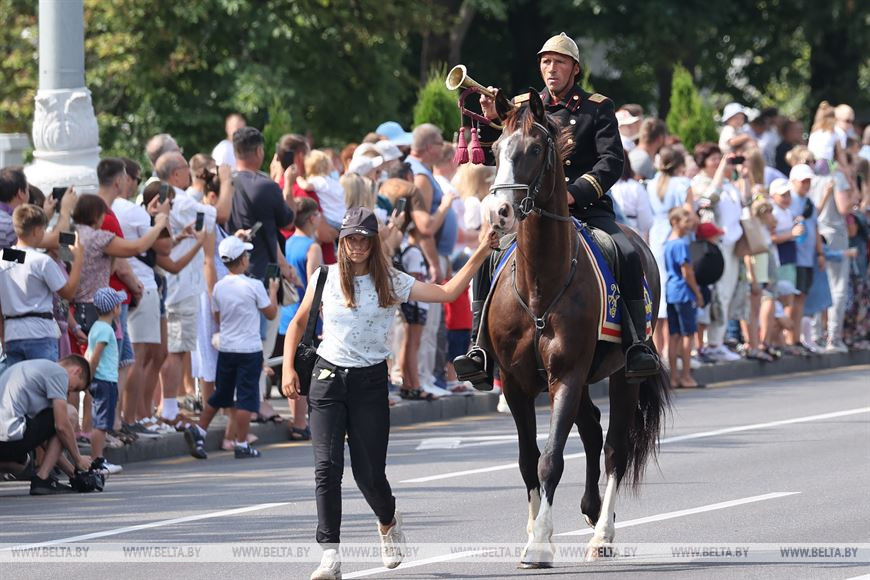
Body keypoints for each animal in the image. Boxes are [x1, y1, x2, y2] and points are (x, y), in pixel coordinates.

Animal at [483, 90, 670, 567]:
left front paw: (539, 543)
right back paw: (589, 508)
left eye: (534, 150)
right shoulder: (517, 382)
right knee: (591, 429)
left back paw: (602, 533)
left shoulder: (565, 375)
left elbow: (551, 459)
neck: (540, 286)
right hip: (585, 378)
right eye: (495, 149)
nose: (498, 213)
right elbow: (528, 459)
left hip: (621, 376)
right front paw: (534, 532)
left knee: (615, 447)